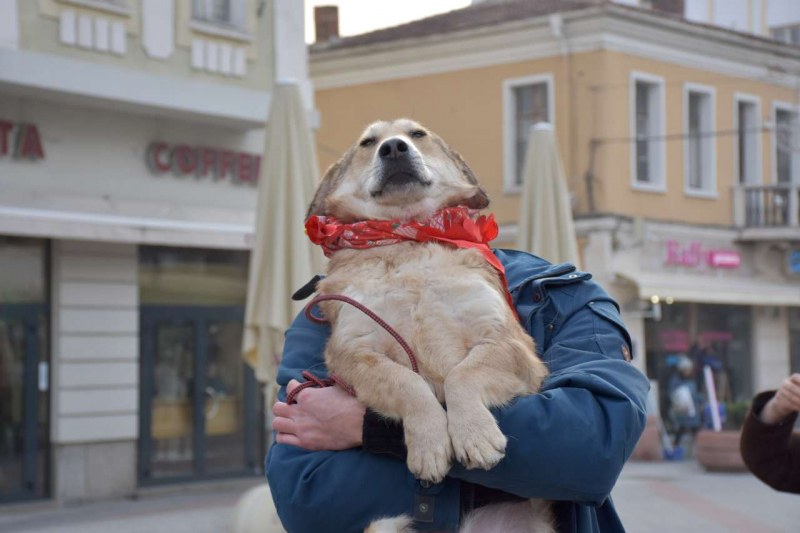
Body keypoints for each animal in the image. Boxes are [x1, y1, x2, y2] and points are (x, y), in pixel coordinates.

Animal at [304, 118, 552, 528]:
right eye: (368, 142)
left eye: (417, 134)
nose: (393, 148)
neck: (409, 238)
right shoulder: (352, 351)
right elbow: (410, 384)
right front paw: (430, 445)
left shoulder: (508, 340)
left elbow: (461, 376)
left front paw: (474, 434)